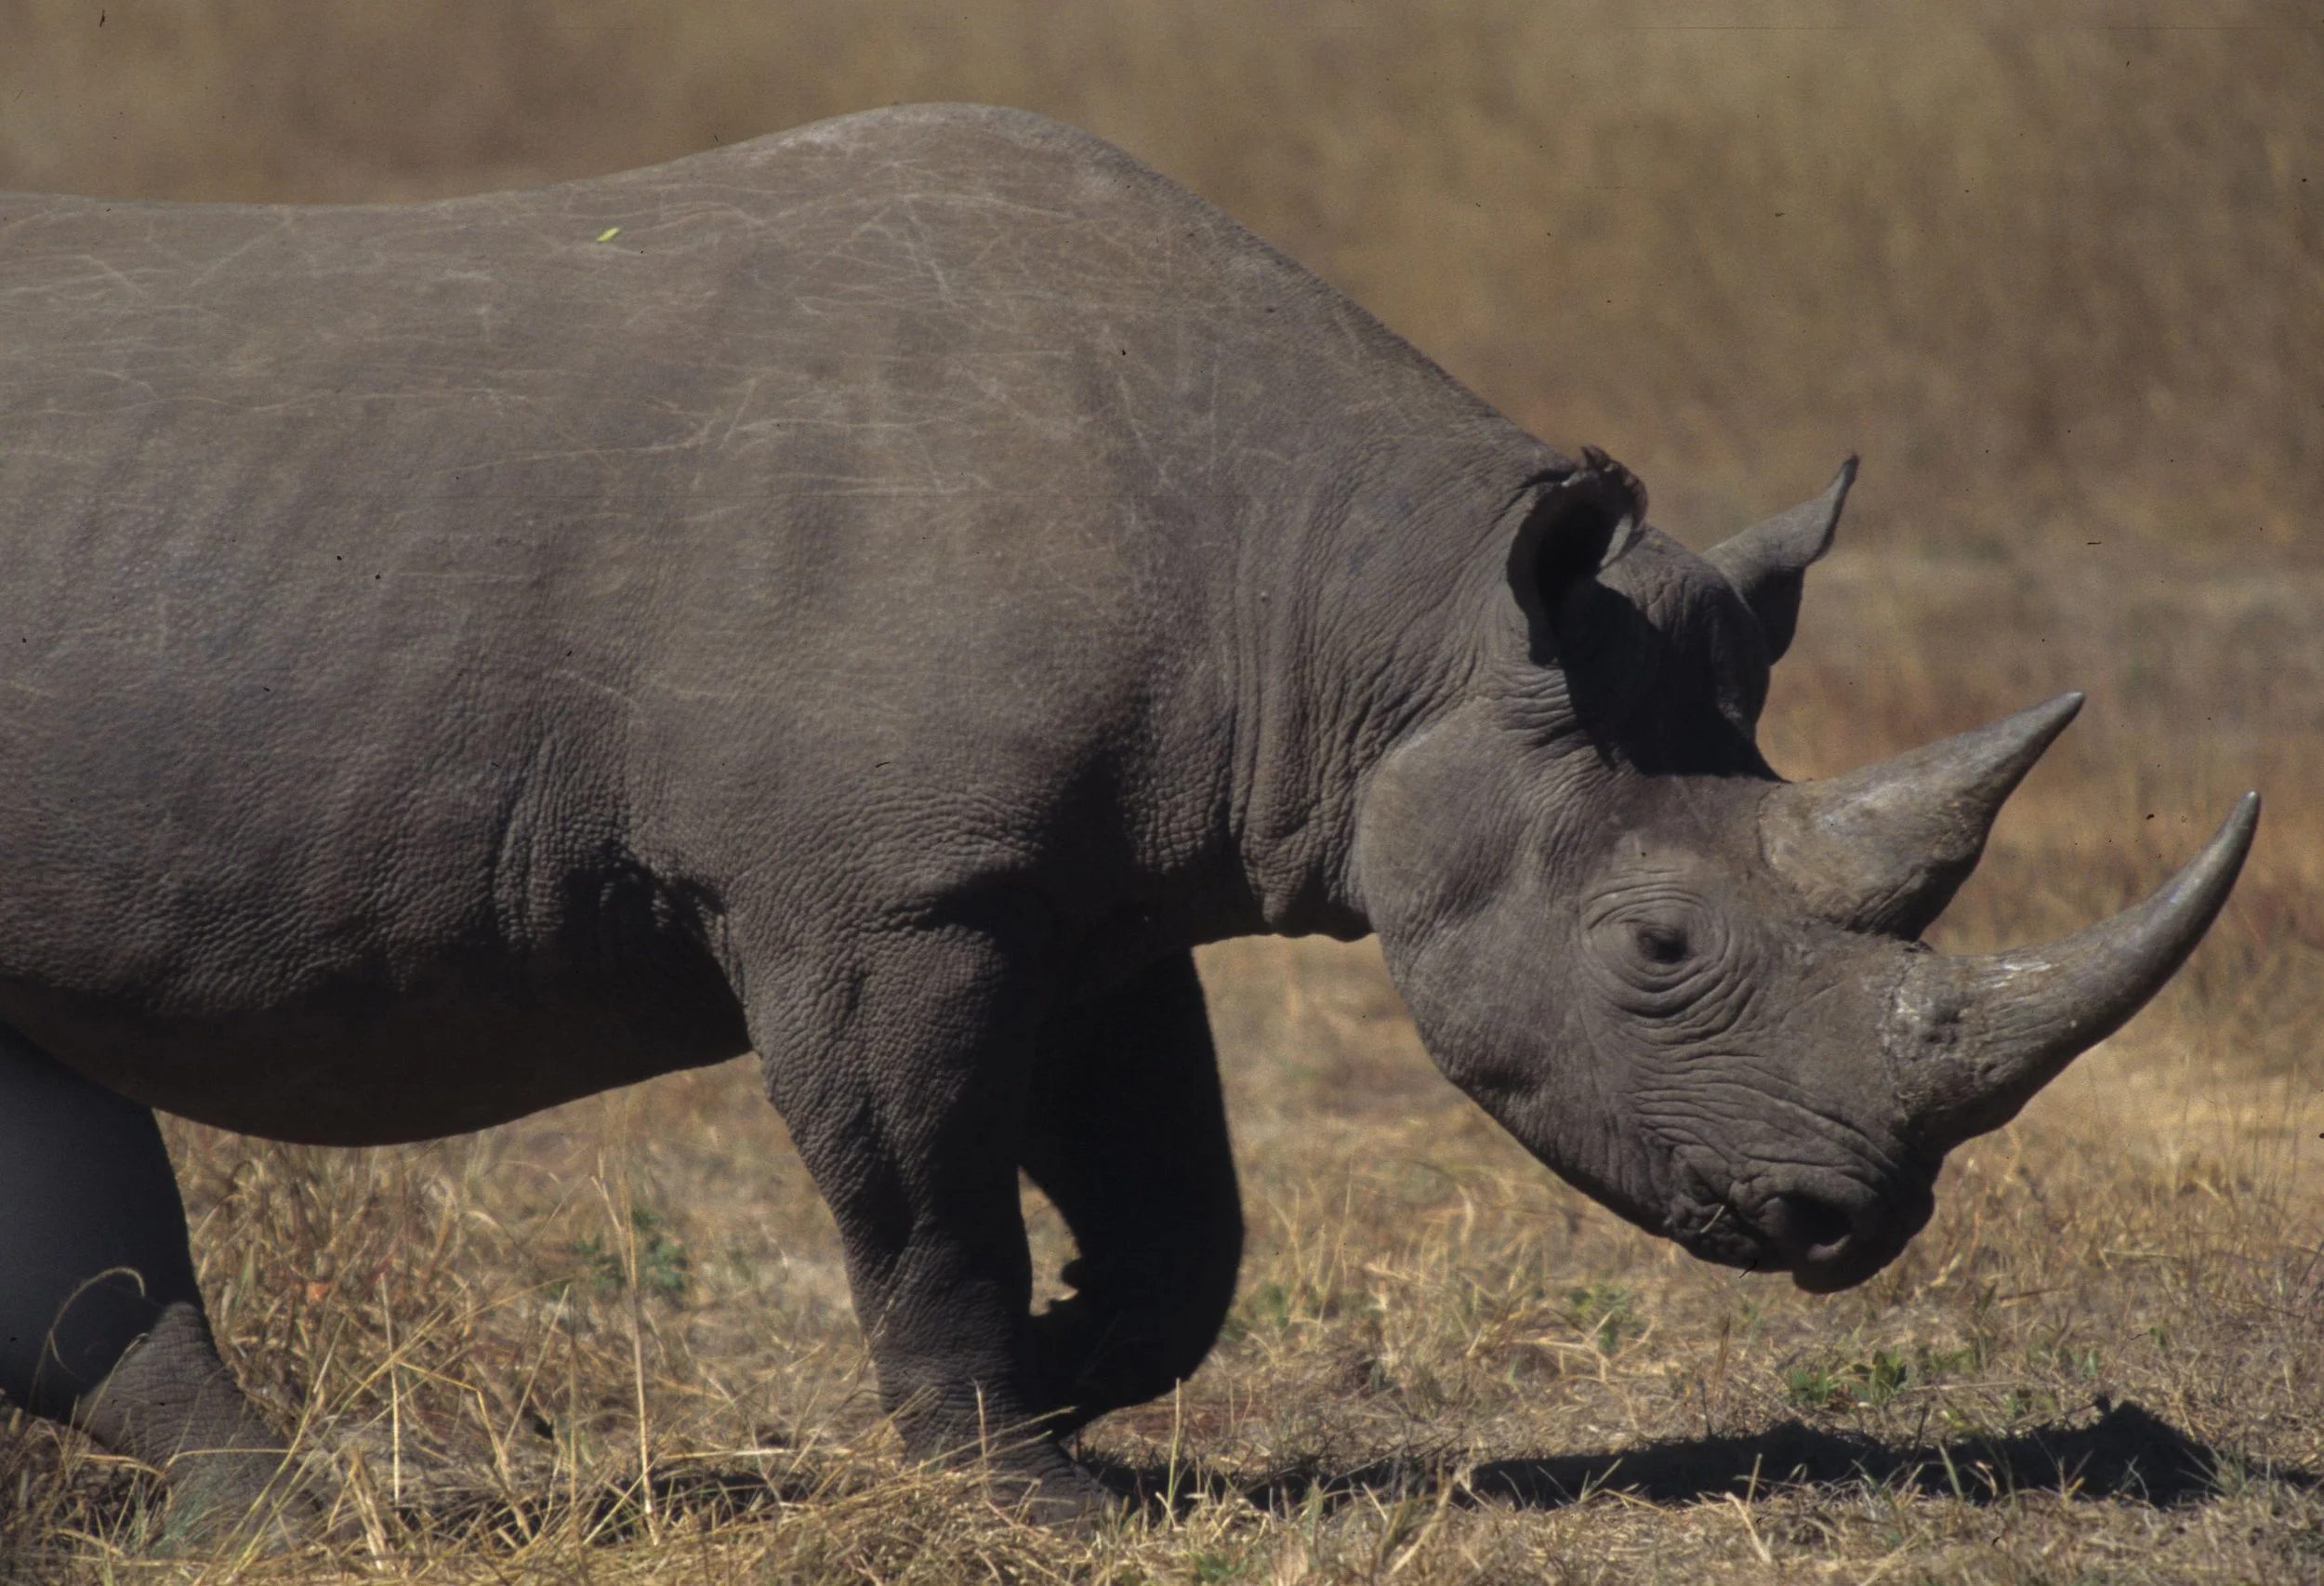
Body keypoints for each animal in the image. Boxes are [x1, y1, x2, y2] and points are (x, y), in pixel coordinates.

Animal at [0, 103, 2255, 1530]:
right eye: (1658, 951)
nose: (1851, 1226)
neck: (1385, 615)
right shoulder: (883, 898)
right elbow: (923, 1195)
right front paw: (1021, 1486)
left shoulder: (1083, 888)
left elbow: (1186, 1216)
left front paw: (1072, 1373)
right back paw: (299, 1513)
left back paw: (265, 1520)